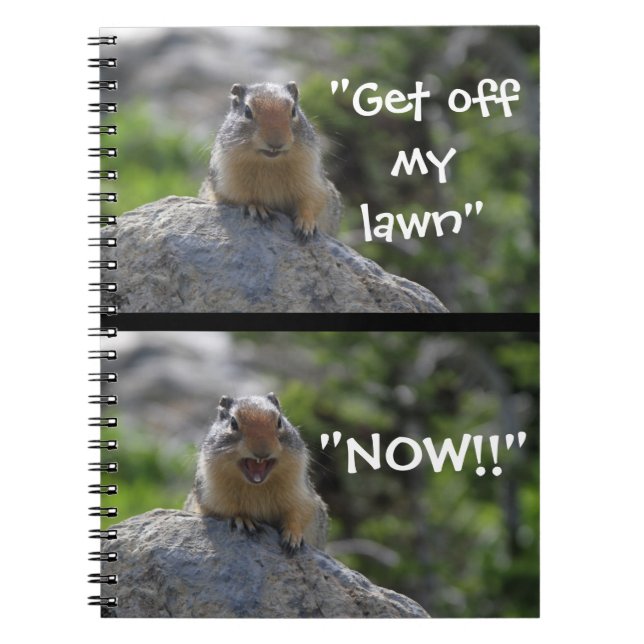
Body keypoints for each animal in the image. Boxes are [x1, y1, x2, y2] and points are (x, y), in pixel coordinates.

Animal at [184, 392, 328, 553]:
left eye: (280, 421)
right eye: (233, 423)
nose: (262, 451)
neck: (257, 486)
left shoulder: (302, 493)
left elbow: (299, 512)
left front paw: (293, 536)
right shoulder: (210, 495)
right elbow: (226, 509)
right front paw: (244, 519)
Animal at [199, 81, 342, 240]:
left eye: (293, 110)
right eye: (247, 111)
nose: (276, 143)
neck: (270, 163)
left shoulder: (312, 176)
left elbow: (312, 199)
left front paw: (306, 224)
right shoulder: (227, 180)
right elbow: (239, 196)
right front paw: (257, 207)